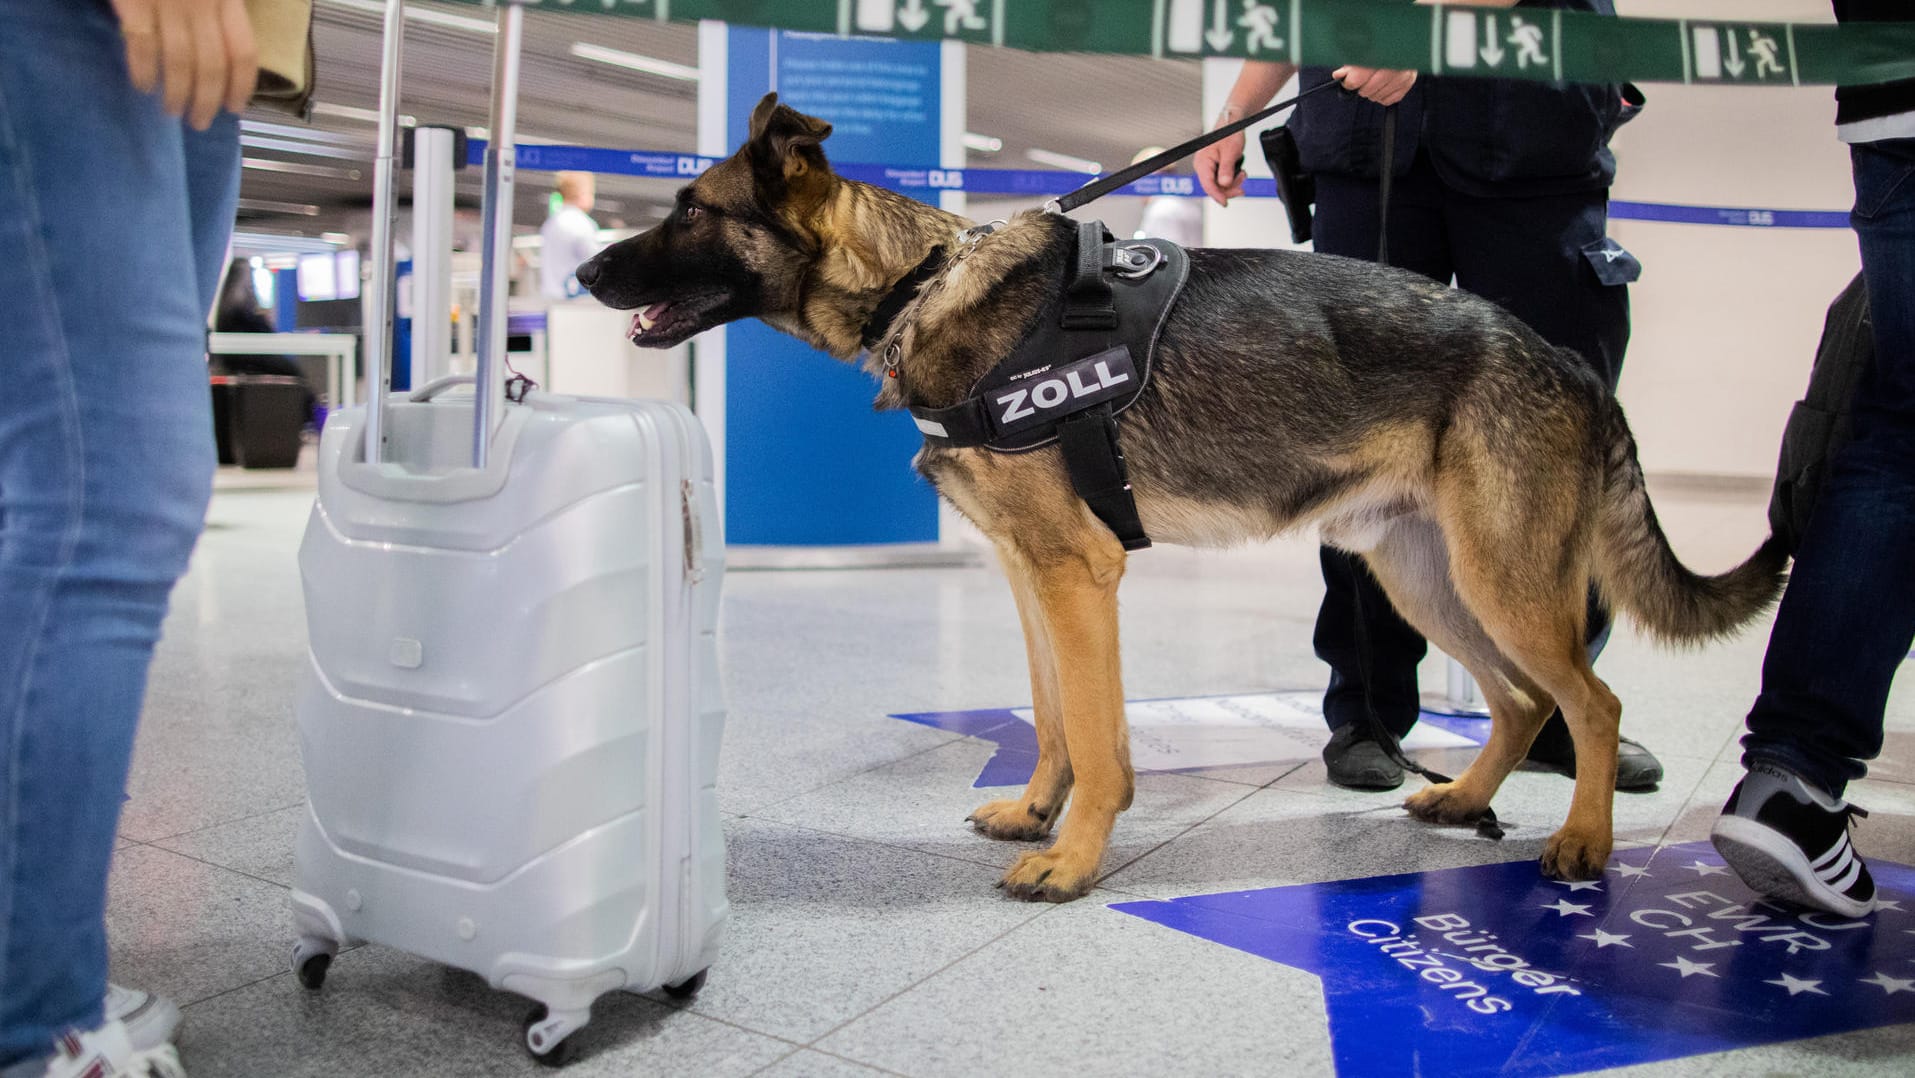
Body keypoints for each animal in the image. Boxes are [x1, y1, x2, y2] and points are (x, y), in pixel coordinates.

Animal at [574, 94, 1784, 903]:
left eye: (689, 209)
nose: (583, 275)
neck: (921, 285)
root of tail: (1564, 362)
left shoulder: (1079, 574)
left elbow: (1100, 735)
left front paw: (1071, 858)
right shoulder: (1031, 575)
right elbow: (1052, 717)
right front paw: (1036, 810)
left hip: (1504, 580)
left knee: (1592, 702)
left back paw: (1582, 842)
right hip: (1428, 580)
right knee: (1523, 700)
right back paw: (1459, 799)